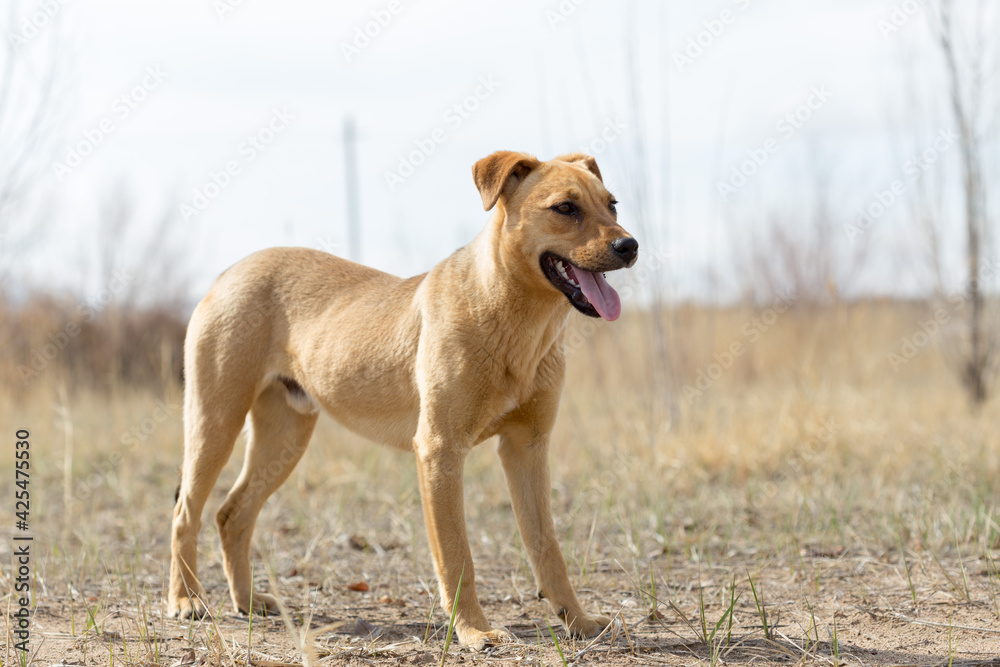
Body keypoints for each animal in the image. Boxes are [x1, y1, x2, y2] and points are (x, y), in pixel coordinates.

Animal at [168, 150, 640, 648]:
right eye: (565, 208)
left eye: (612, 204)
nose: (630, 246)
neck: (514, 319)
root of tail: (231, 270)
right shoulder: (440, 450)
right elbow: (457, 556)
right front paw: (474, 630)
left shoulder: (527, 447)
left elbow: (547, 546)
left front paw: (580, 622)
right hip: (214, 422)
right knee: (185, 514)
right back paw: (185, 602)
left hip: (284, 438)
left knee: (232, 514)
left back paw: (247, 602)